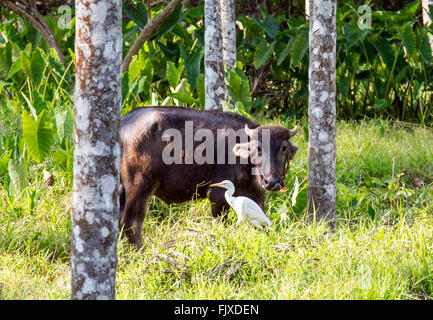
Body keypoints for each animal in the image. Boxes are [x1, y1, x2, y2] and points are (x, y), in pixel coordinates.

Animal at [120, 106, 298, 246]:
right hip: (139, 186)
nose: (271, 182)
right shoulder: (218, 197)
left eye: (283, 148)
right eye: (258, 148)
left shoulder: (256, 198)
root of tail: (123, 125)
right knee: (131, 223)